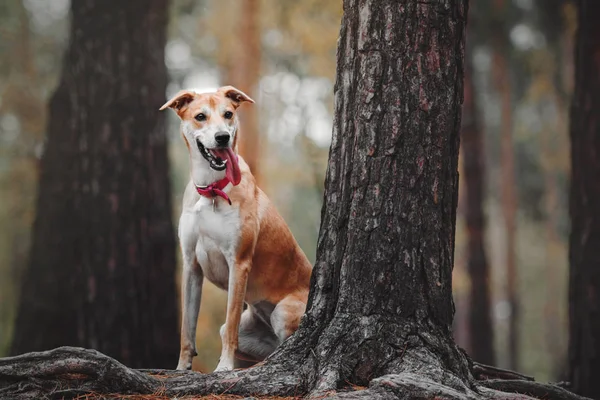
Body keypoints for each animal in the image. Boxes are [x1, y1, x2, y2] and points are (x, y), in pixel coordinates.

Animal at [159, 86, 312, 370]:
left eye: (228, 114)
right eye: (200, 116)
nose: (223, 138)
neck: (212, 189)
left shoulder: (238, 263)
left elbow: (230, 322)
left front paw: (224, 367)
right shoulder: (191, 265)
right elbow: (187, 328)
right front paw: (182, 368)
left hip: (282, 312)